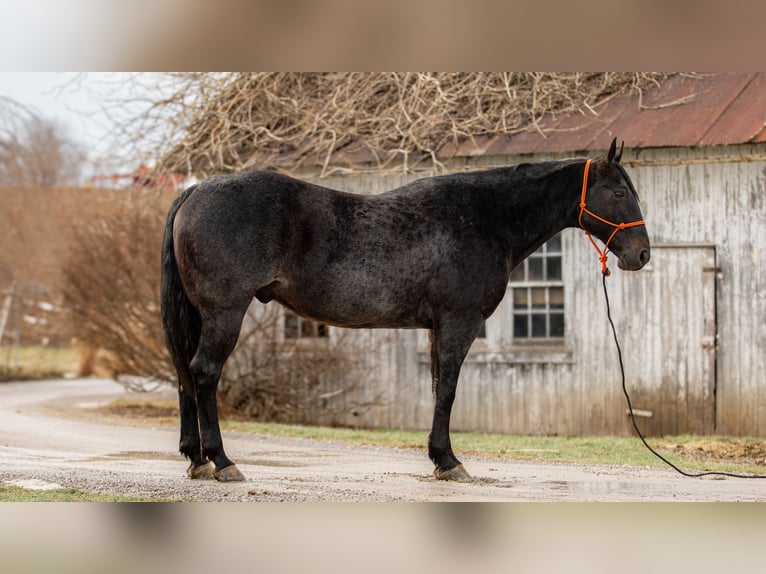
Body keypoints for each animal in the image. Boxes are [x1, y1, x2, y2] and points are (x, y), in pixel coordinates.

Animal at [159, 137, 652, 484]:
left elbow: (437, 389)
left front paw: (439, 459)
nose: (642, 254)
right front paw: (449, 461)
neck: (484, 217)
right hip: (224, 313)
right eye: (618, 192)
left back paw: (196, 459)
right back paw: (222, 461)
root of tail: (196, 190)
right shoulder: (458, 323)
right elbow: (448, 390)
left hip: (201, 316)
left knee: (185, 374)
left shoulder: (436, 328)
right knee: (203, 373)